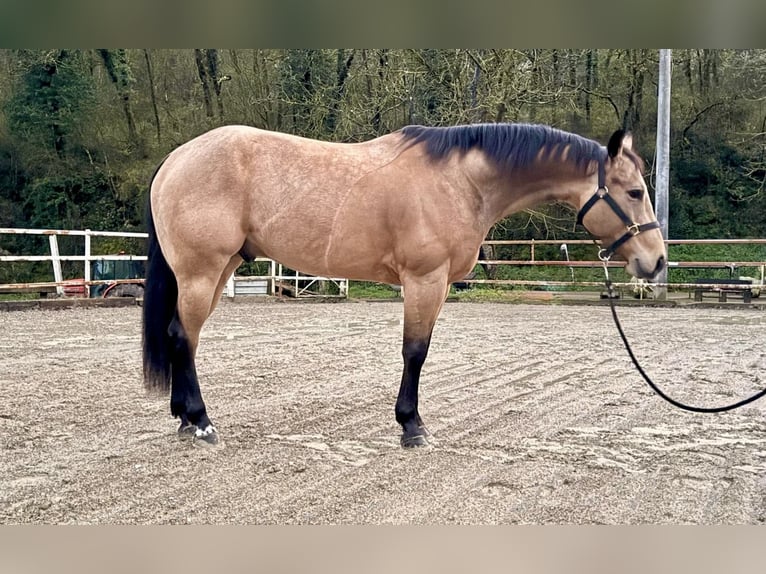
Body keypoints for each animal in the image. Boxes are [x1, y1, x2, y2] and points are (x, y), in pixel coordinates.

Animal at [142, 123, 666, 447]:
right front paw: (412, 426)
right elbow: (415, 351)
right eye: (635, 192)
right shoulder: (424, 280)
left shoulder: (437, 286)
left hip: (219, 270)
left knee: (181, 337)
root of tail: (174, 159)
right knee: (182, 337)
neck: (461, 181)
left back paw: (184, 417)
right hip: (201, 272)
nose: (657, 262)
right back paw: (201, 422)